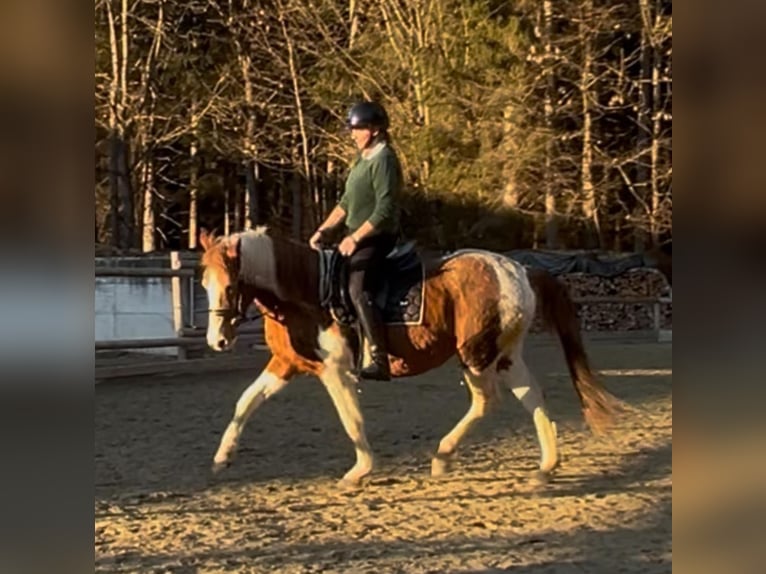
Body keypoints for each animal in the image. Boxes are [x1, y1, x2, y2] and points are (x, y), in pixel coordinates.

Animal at [198, 226, 624, 488]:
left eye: (231, 285)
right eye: (203, 283)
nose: (217, 340)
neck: (308, 290)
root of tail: (517, 267)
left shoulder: (335, 372)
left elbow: (351, 420)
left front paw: (360, 471)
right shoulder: (287, 365)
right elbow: (245, 403)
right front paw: (221, 458)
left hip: (474, 354)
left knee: (487, 400)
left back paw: (443, 457)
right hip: (505, 353)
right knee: (531, 394)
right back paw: (546, 466)